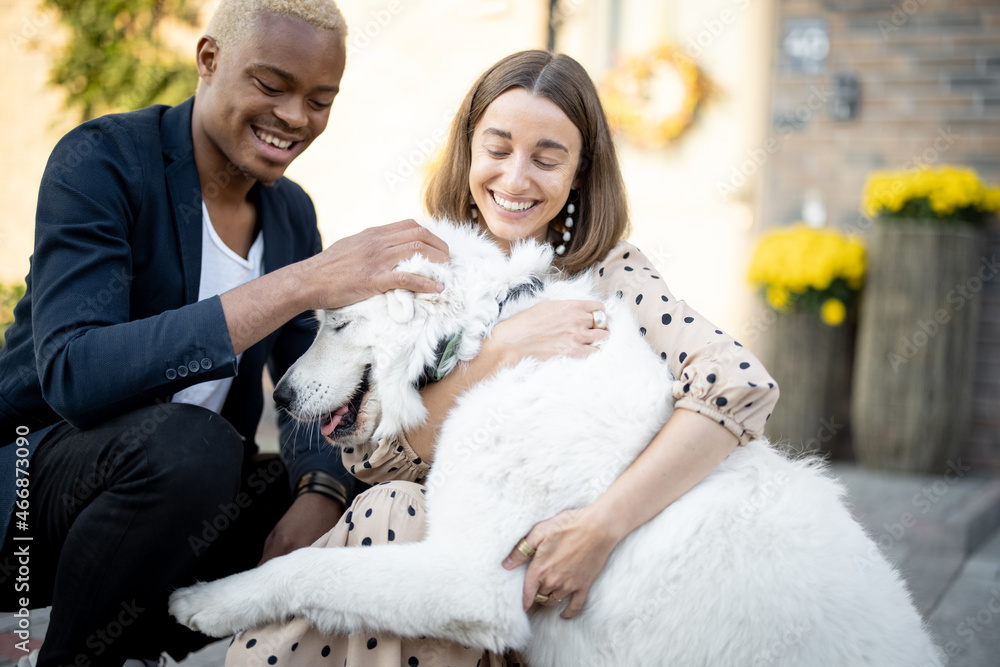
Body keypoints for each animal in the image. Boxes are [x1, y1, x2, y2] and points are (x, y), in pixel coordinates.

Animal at [168, 220, 940, 667]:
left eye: (334, 323)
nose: (281, 398)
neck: (489, 334)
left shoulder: (468, 577)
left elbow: (307, 569)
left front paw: (208, 599)